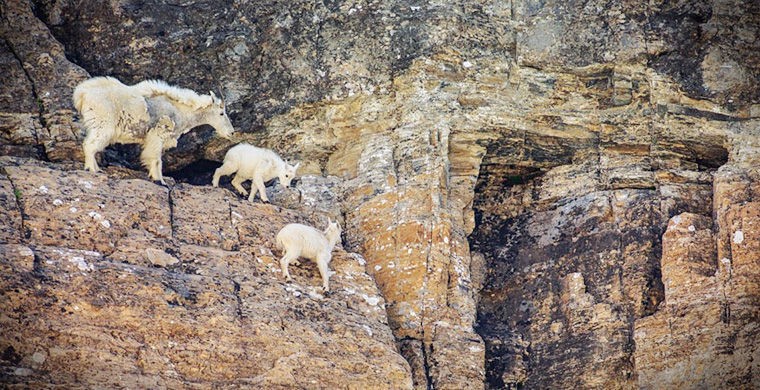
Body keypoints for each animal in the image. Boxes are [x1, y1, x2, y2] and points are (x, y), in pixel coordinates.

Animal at [74, 78, 236, 186]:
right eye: (221, 113)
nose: (232, 133)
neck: (180, 110)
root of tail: (81, 94)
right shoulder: (157, 135)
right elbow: (157, 159)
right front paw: (160, 180)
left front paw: (156, 177)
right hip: (103, 124)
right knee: (90, 145)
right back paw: (92, 169)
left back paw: (96, 168)